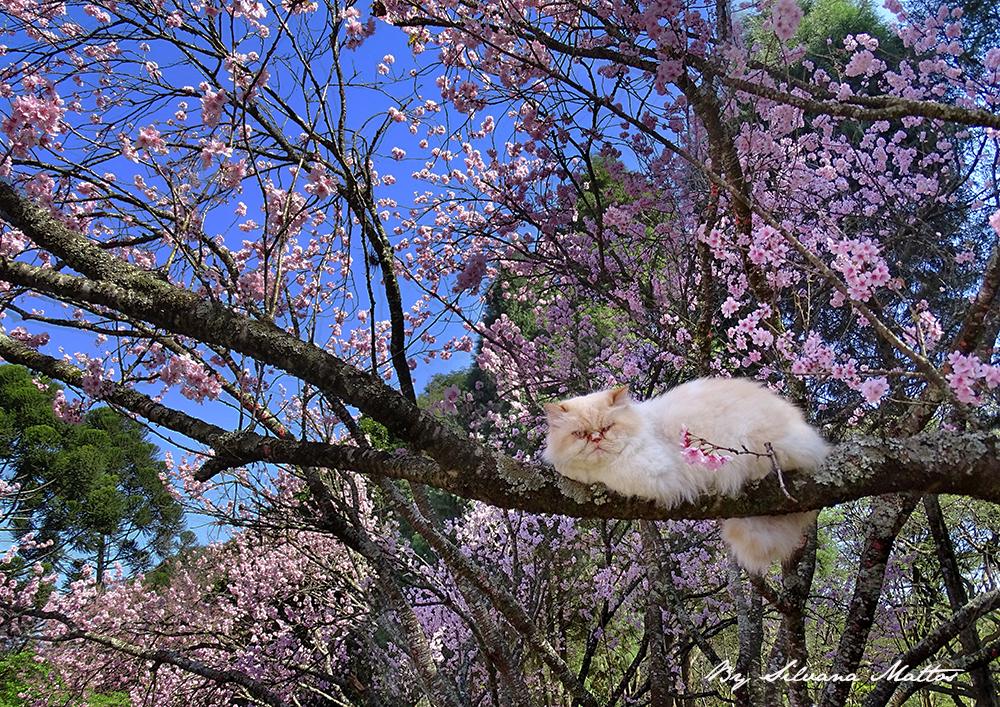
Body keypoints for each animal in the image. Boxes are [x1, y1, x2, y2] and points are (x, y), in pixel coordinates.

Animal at [544, 378, 832, 572]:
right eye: (580, 434)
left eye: (607, 428)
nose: (595, 439)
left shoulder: (647, 468)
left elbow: (594, 470)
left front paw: (566, 467)